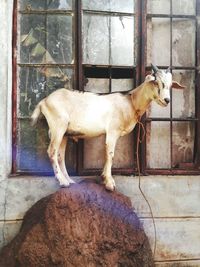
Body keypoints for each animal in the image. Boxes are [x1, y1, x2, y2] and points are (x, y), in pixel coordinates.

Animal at [30, 65, 184, 191]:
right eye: (156, 82)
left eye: (170, 85)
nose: (166, 100)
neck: (131, 101)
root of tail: (44, 101)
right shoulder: (112, 131)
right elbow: (110, 154)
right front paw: (110, 183)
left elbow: (107, 154)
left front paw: (104, 177)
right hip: (58, 126)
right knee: (51, 151)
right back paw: (62, 181)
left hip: (65, 133)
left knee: (60, 155)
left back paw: (69, 180)